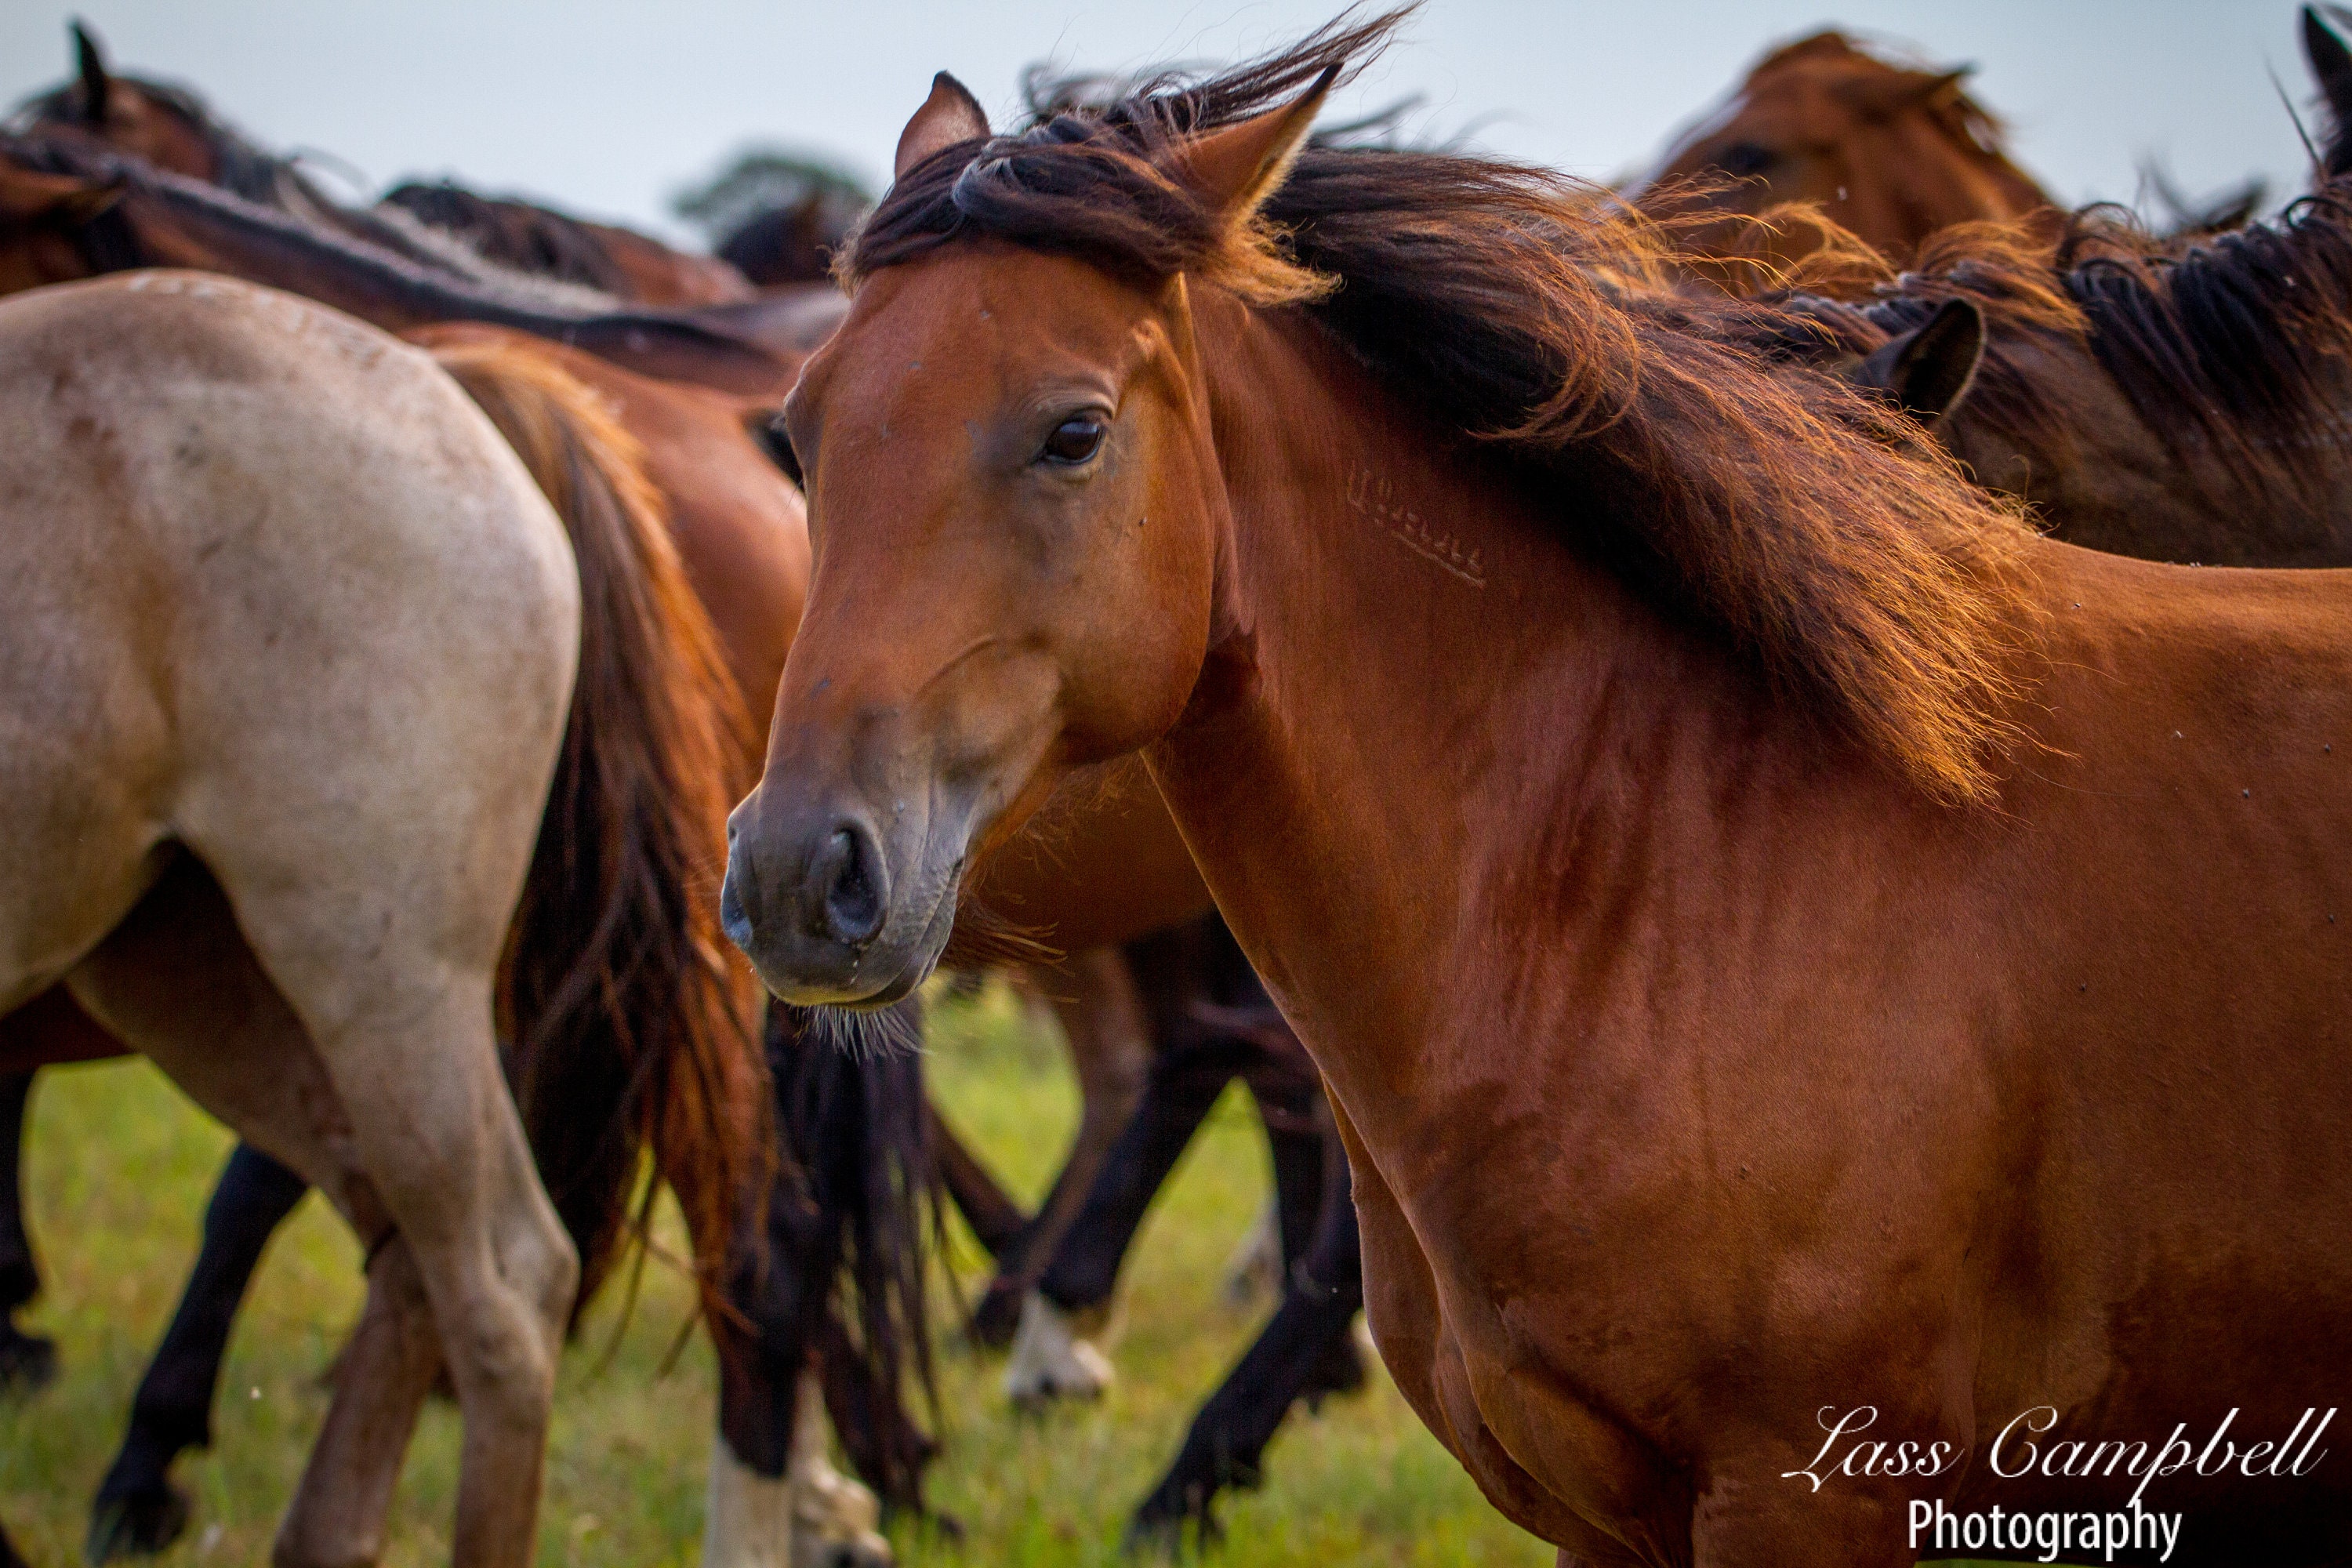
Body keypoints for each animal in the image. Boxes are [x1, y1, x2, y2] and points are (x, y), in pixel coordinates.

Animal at [722, 16, 2352, 1563]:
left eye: (1074, 432)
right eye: (799, 434)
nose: (799, 874)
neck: (1673, 878)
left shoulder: (1808, 1495)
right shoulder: (1601, 1518)